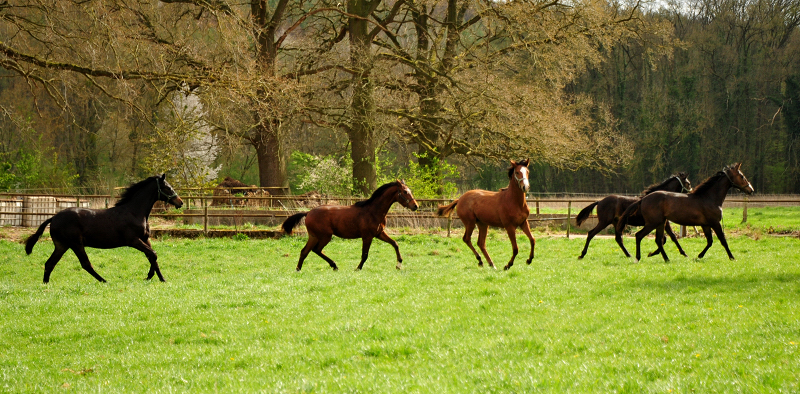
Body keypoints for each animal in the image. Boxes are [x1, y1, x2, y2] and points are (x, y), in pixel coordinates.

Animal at [24, 175, 184, 284]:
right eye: (167, 187)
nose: (180, 202)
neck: (134, 212)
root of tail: (54, 218)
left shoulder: (145, 239)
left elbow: (152, 256)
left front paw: (158, 278)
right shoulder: (133, 240)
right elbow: (153, 254)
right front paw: (152, 277)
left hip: (62, 245)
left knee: (50, 263)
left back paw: (45, 284)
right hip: (76, 244)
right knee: (85, 264)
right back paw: (104, 281)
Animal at [282, 179, 418, 270]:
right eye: (405, 192)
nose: (415, 206)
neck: (373, 211)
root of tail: (308, 212)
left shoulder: (379, 233)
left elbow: (395, 244)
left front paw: (399, 264)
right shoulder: (367, 236)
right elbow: (365, 254)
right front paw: (358, 268)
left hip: (314, 236)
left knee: (305, 251)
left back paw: (299, 269)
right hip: (325, 236)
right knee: (316, 250)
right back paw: (334, 265)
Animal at [620, 163, 756, 262]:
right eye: (742, 176)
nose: (751, 190)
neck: (709, 198)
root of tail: (643, 199)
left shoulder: (705, 225)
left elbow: (710, 241)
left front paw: (699, 256)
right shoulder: (715, 223)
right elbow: (722, 240)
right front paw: (732, 257)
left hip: (660, 223)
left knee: (658, 240)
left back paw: (666, 259)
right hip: (652, 223)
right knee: (639, 235)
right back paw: (637, 258)